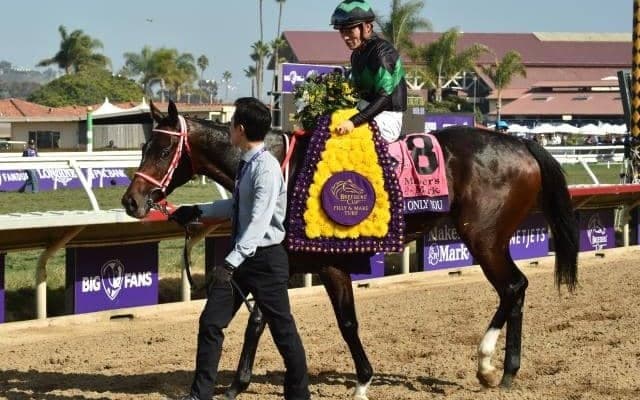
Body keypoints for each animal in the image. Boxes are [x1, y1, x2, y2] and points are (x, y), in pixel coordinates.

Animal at [122, 100, 578, 400]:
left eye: (163, 149)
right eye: (143, 147)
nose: (131, 201)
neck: (282, 167)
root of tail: (523, 145)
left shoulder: (329, 265)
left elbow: (346, 323)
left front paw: (362, 381)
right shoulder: (284, 261)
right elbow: (258, 321)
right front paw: (236, 384)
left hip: (483, 238)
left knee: (513, 287)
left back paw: (487, 364)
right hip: (492, 239)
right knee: (515, 288)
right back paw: (506, 371)